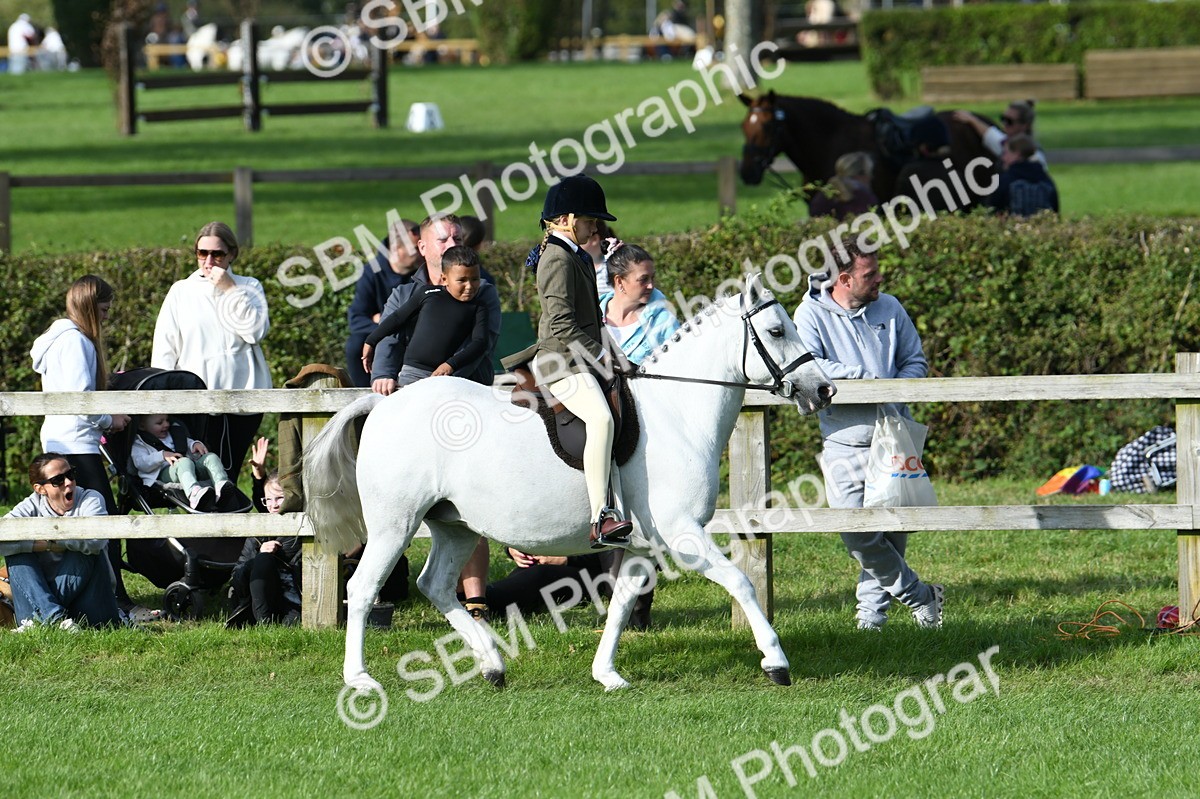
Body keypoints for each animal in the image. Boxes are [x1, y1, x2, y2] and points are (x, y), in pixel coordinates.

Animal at [304, 275, 836, 694]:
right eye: (776, 331)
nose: (824, 389)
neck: (677, 412)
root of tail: (384, 403)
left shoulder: (643, 545)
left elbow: (622, 602)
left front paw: (607, 674)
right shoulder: (683, 532)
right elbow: (741, 582)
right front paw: (776, 662)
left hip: (455, 525)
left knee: (435, 585)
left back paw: (492, 665)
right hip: (394, 525)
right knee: (364, 586)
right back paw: (360, 679)